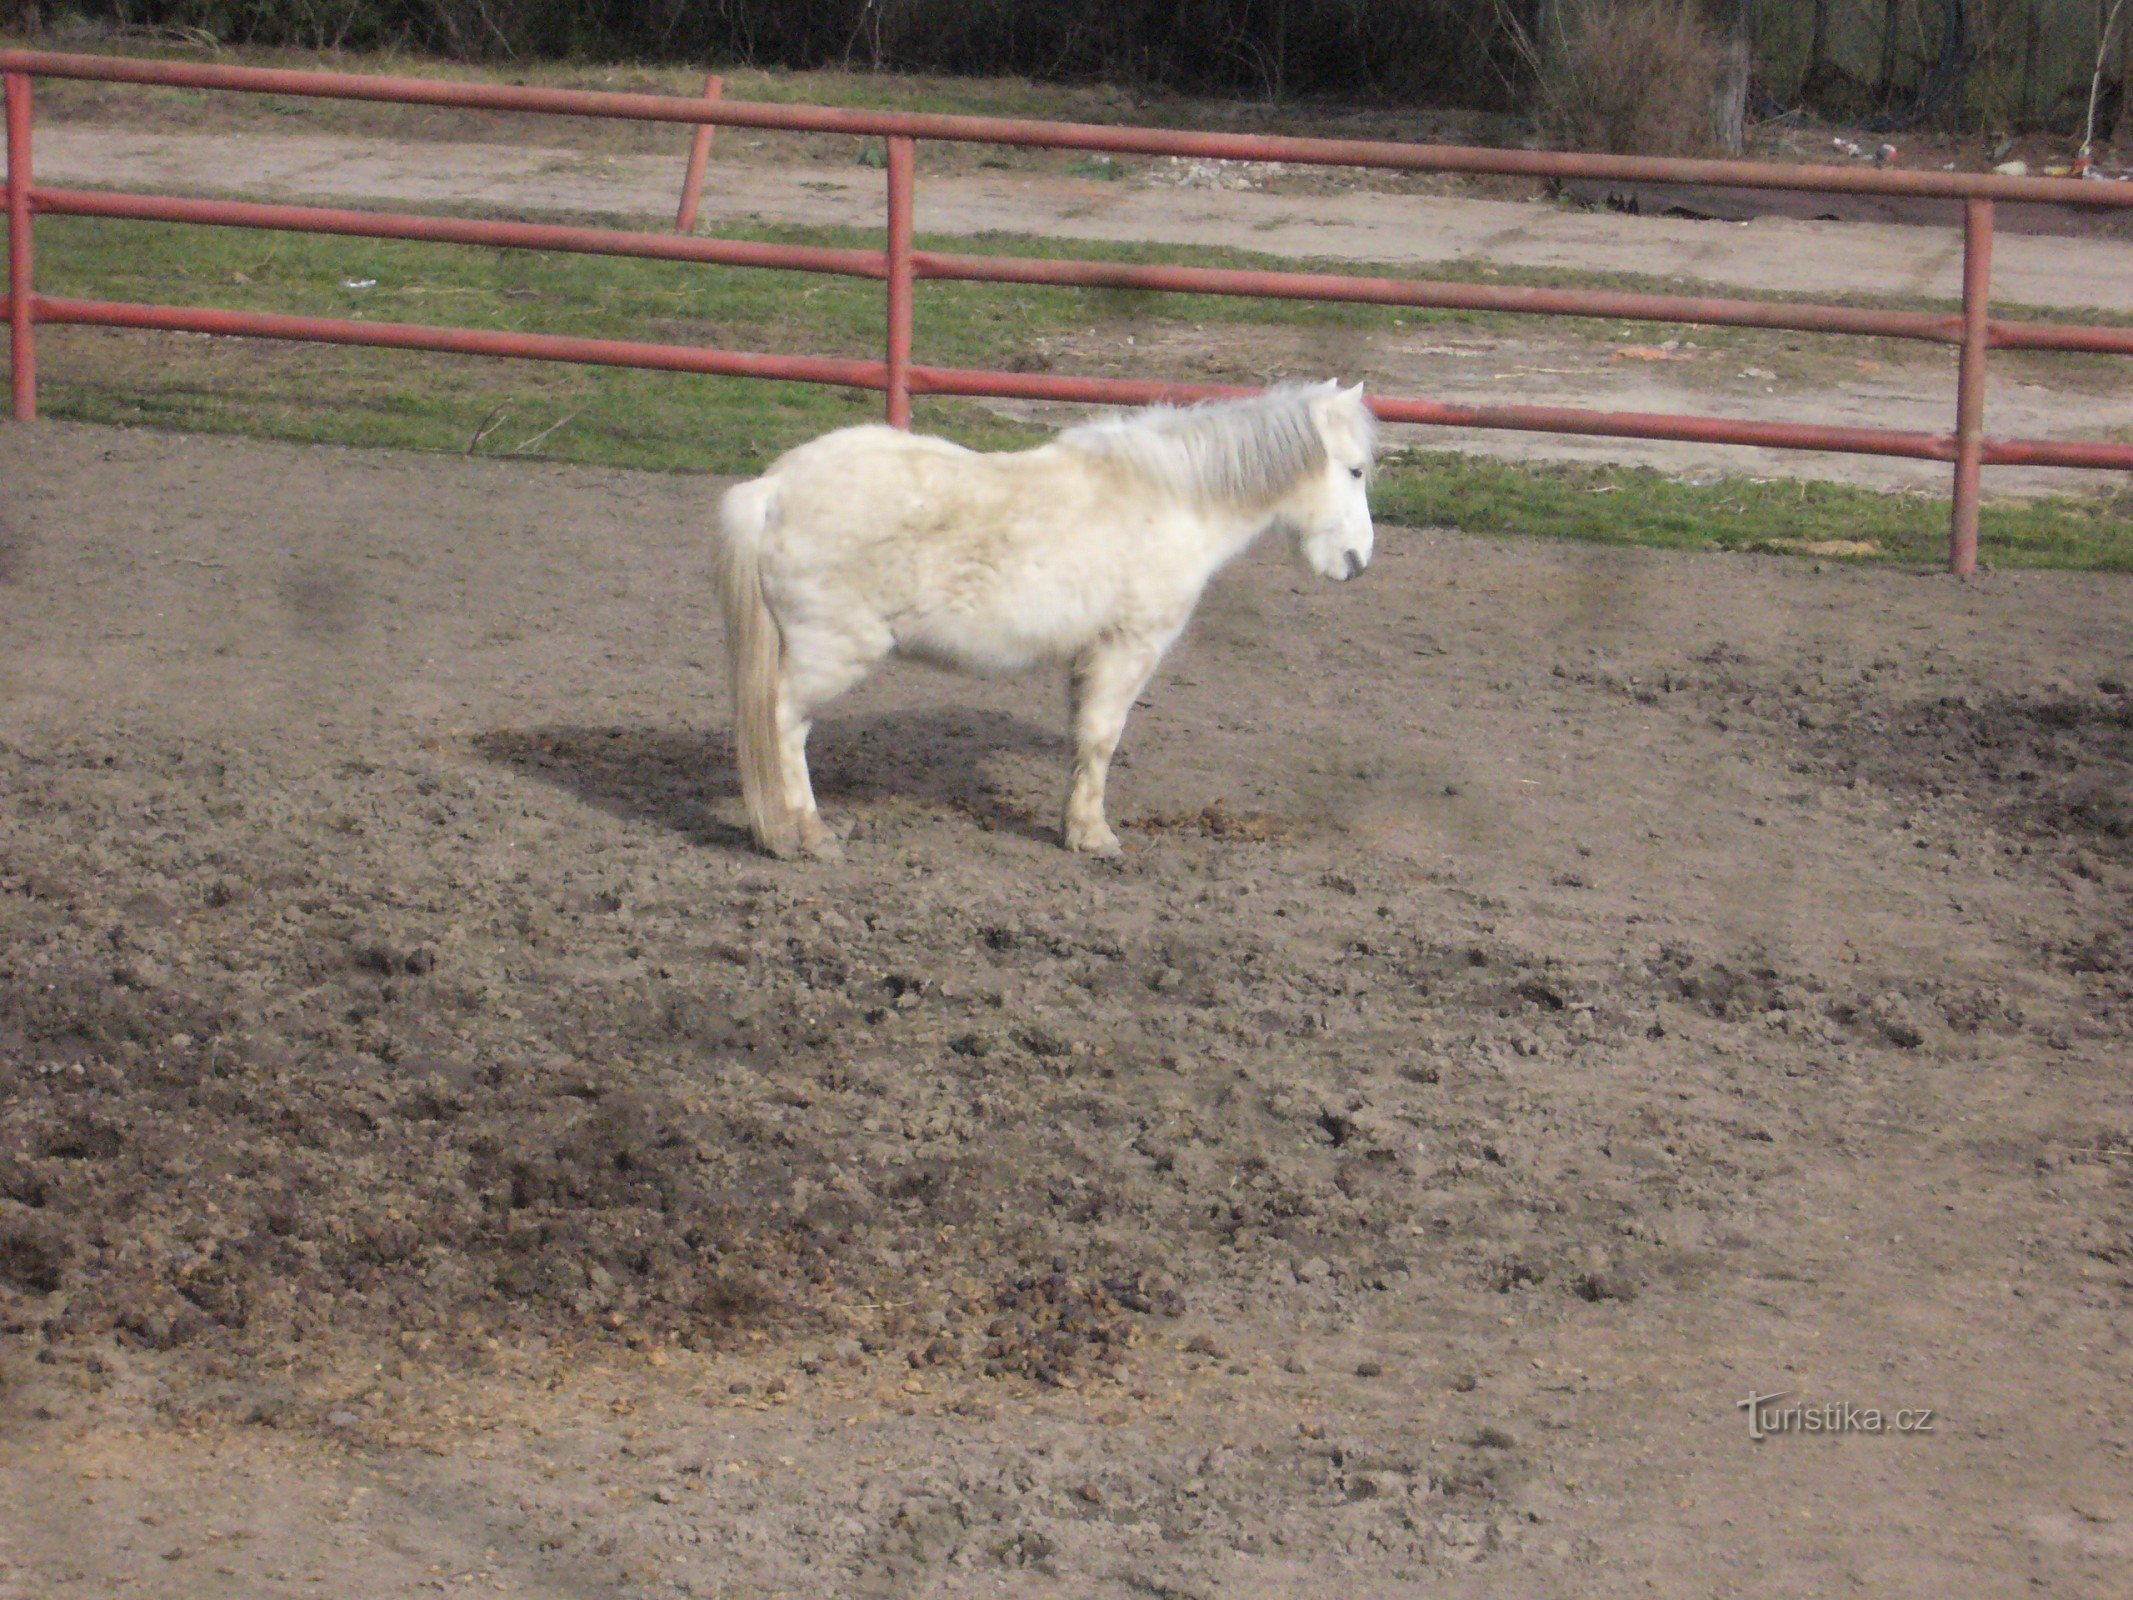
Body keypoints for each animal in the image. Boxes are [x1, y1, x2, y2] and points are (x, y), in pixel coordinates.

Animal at [712, 379, 1382, 857]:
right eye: (1354, 470)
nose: (1358, 562)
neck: (1170, 499)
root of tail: (771, 491)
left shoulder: (1089, 657)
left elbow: (1081, 739)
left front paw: (1074, 826)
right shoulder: (1127, 649)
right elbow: (1103, 738)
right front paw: (1094, 837)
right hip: (830, 655)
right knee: (780, 726)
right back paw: (802, 835)